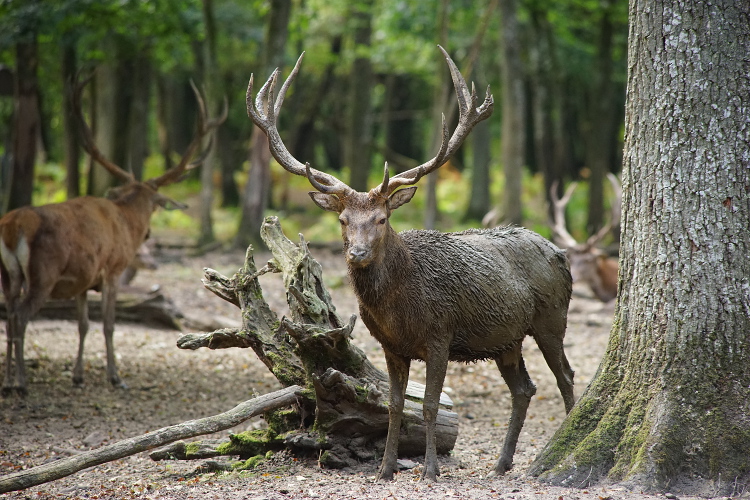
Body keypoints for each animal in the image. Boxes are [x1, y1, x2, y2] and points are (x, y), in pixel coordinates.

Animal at [0, 78, 225, 396]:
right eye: (156, 204)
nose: (148, 234)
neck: (126, 222)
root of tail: (13, 227)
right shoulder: (113, 269)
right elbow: (108, 324)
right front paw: (116, 376)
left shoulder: (82, 279)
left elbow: (83, 324)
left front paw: (78, 376)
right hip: (43, 273)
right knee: (20, 317)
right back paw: (21, 382)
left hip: (8, 274)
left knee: (8, 316)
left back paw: (8, 381)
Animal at [247, 47, 576, 480]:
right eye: (343, 219)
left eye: (382, 219)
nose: (357, 253)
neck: (399, 307)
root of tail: (561, 254)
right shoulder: (390, 345)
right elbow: (396, 406)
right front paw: (385, 469)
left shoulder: (440, 334)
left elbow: (432, 405)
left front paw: (430, 470)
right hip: (507, 339)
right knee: (524, 388)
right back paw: (501, 464)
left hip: (551, 318)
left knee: (566, 376)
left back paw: (566, 444)